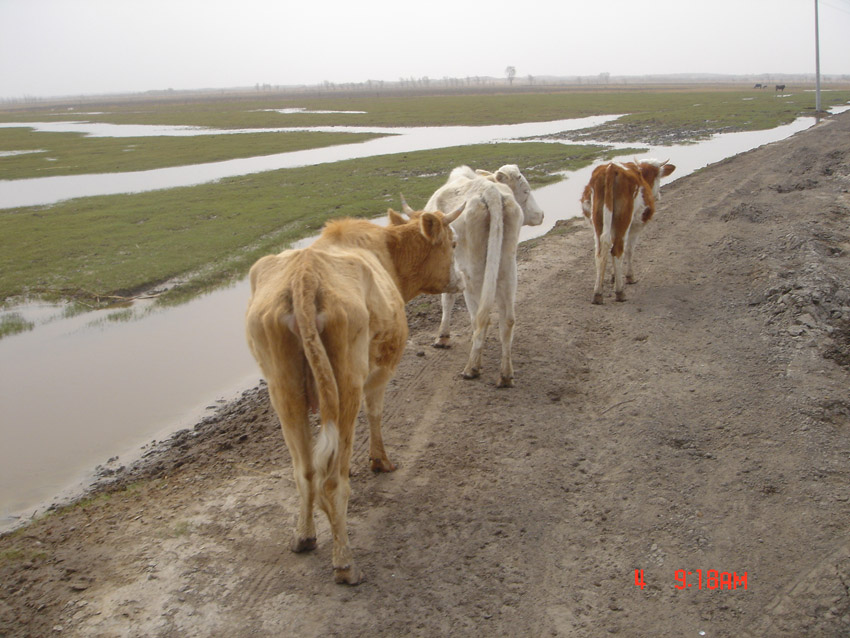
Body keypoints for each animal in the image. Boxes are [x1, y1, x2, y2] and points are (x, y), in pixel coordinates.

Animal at [242, 208, 460, 588]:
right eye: (453, 243)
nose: (460, 280)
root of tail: (304, 273)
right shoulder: (380, 372)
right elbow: (375, 413)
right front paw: (380, 461)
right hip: (346, 385)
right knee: (332, 481)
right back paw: (345, 563)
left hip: (283, 389)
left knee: (305, 472)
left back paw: (304, 536)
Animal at [410, 162, 544, 388]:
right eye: (526, 190)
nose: (541, 214)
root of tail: (490, 191)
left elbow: (447, 299)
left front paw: (442, 337)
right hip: (508, 267)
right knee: (507, 319)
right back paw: (505, 375)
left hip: (472, 271)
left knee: (480, 318)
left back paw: (472, 367)